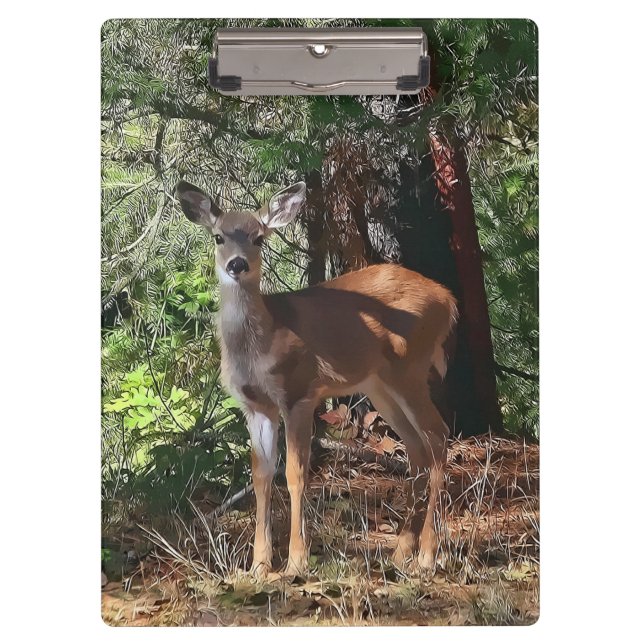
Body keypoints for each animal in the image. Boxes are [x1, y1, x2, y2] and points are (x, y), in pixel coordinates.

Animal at [176, 179, 458, 579]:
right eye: (218, 237)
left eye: (259, 238)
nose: (237, 264)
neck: (262, 344)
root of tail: (448, 300)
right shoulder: (255, 406)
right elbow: (261, 476)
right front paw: (259, 565)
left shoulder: (298, 392)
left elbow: (295, 474)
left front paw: (296, 561)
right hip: (380, 384)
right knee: (417, 447)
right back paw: (401, 552)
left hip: (410, 367)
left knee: (437, 436)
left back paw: (428, 555)